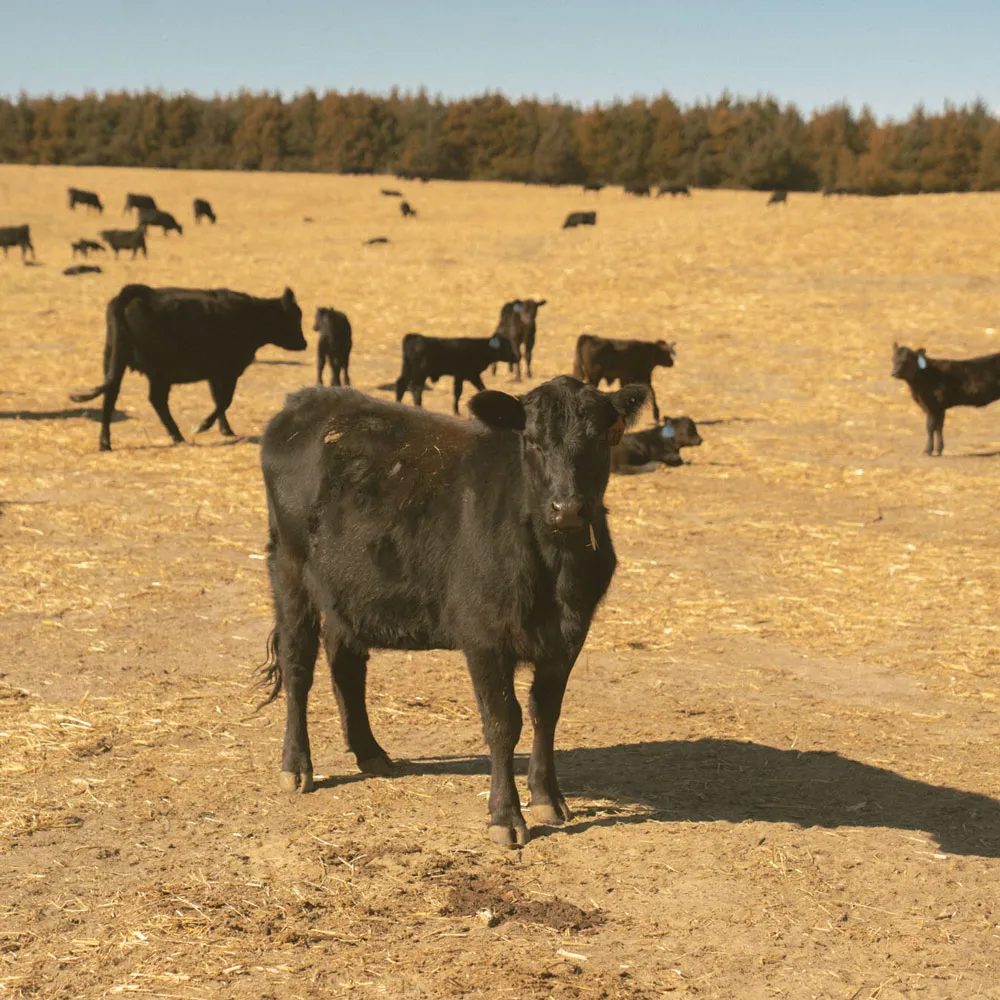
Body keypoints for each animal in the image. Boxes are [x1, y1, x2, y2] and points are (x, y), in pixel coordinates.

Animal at [69, 284, 306, 452]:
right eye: (293, 318)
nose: (304, 343)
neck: (249, 316)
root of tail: (140, 293)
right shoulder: (227, 370)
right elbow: (224, 400)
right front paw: (203, 425)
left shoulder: (215, 374)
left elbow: (219, 400)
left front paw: (225, 429)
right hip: (158, 371)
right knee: (155, 401)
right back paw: (177, 435)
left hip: (116, 360)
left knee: (112, 397)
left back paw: (106, 443)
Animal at [257, 375, 649, 845]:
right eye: (533, 442)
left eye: (597, 439)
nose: (567, 508)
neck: (557, 568)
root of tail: (305, 400)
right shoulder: (483, 635)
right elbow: (503, 722)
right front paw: (505, 817)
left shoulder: (569, 636)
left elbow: (546, 713)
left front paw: (547, 797)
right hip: (289, 569)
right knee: (298, 665)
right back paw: (296, 766)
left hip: (347, 588)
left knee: (345, 663)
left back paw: (371, 753)